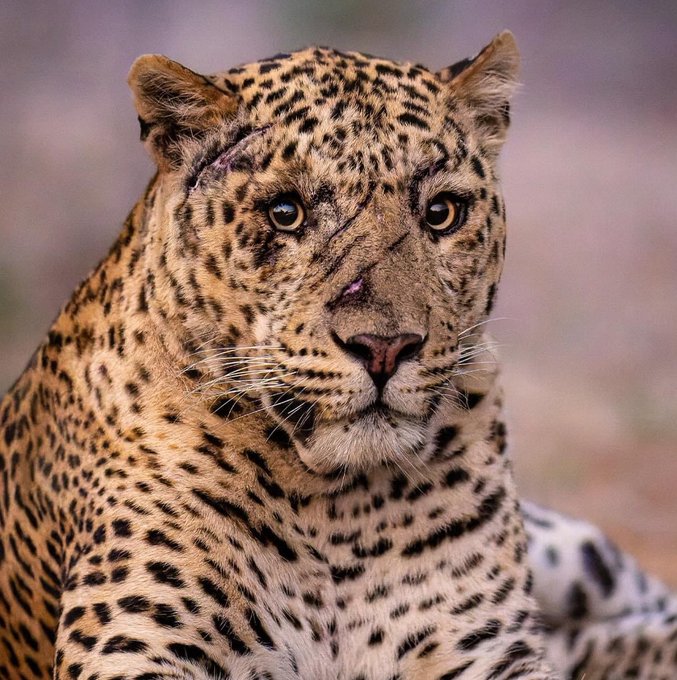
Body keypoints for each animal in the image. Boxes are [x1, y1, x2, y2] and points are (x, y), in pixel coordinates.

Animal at [0, 31, 675, 680]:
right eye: (286, 213)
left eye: (441, 213)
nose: (384, 347)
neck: (340, 517)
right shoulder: (134, 646)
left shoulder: (490, 649)